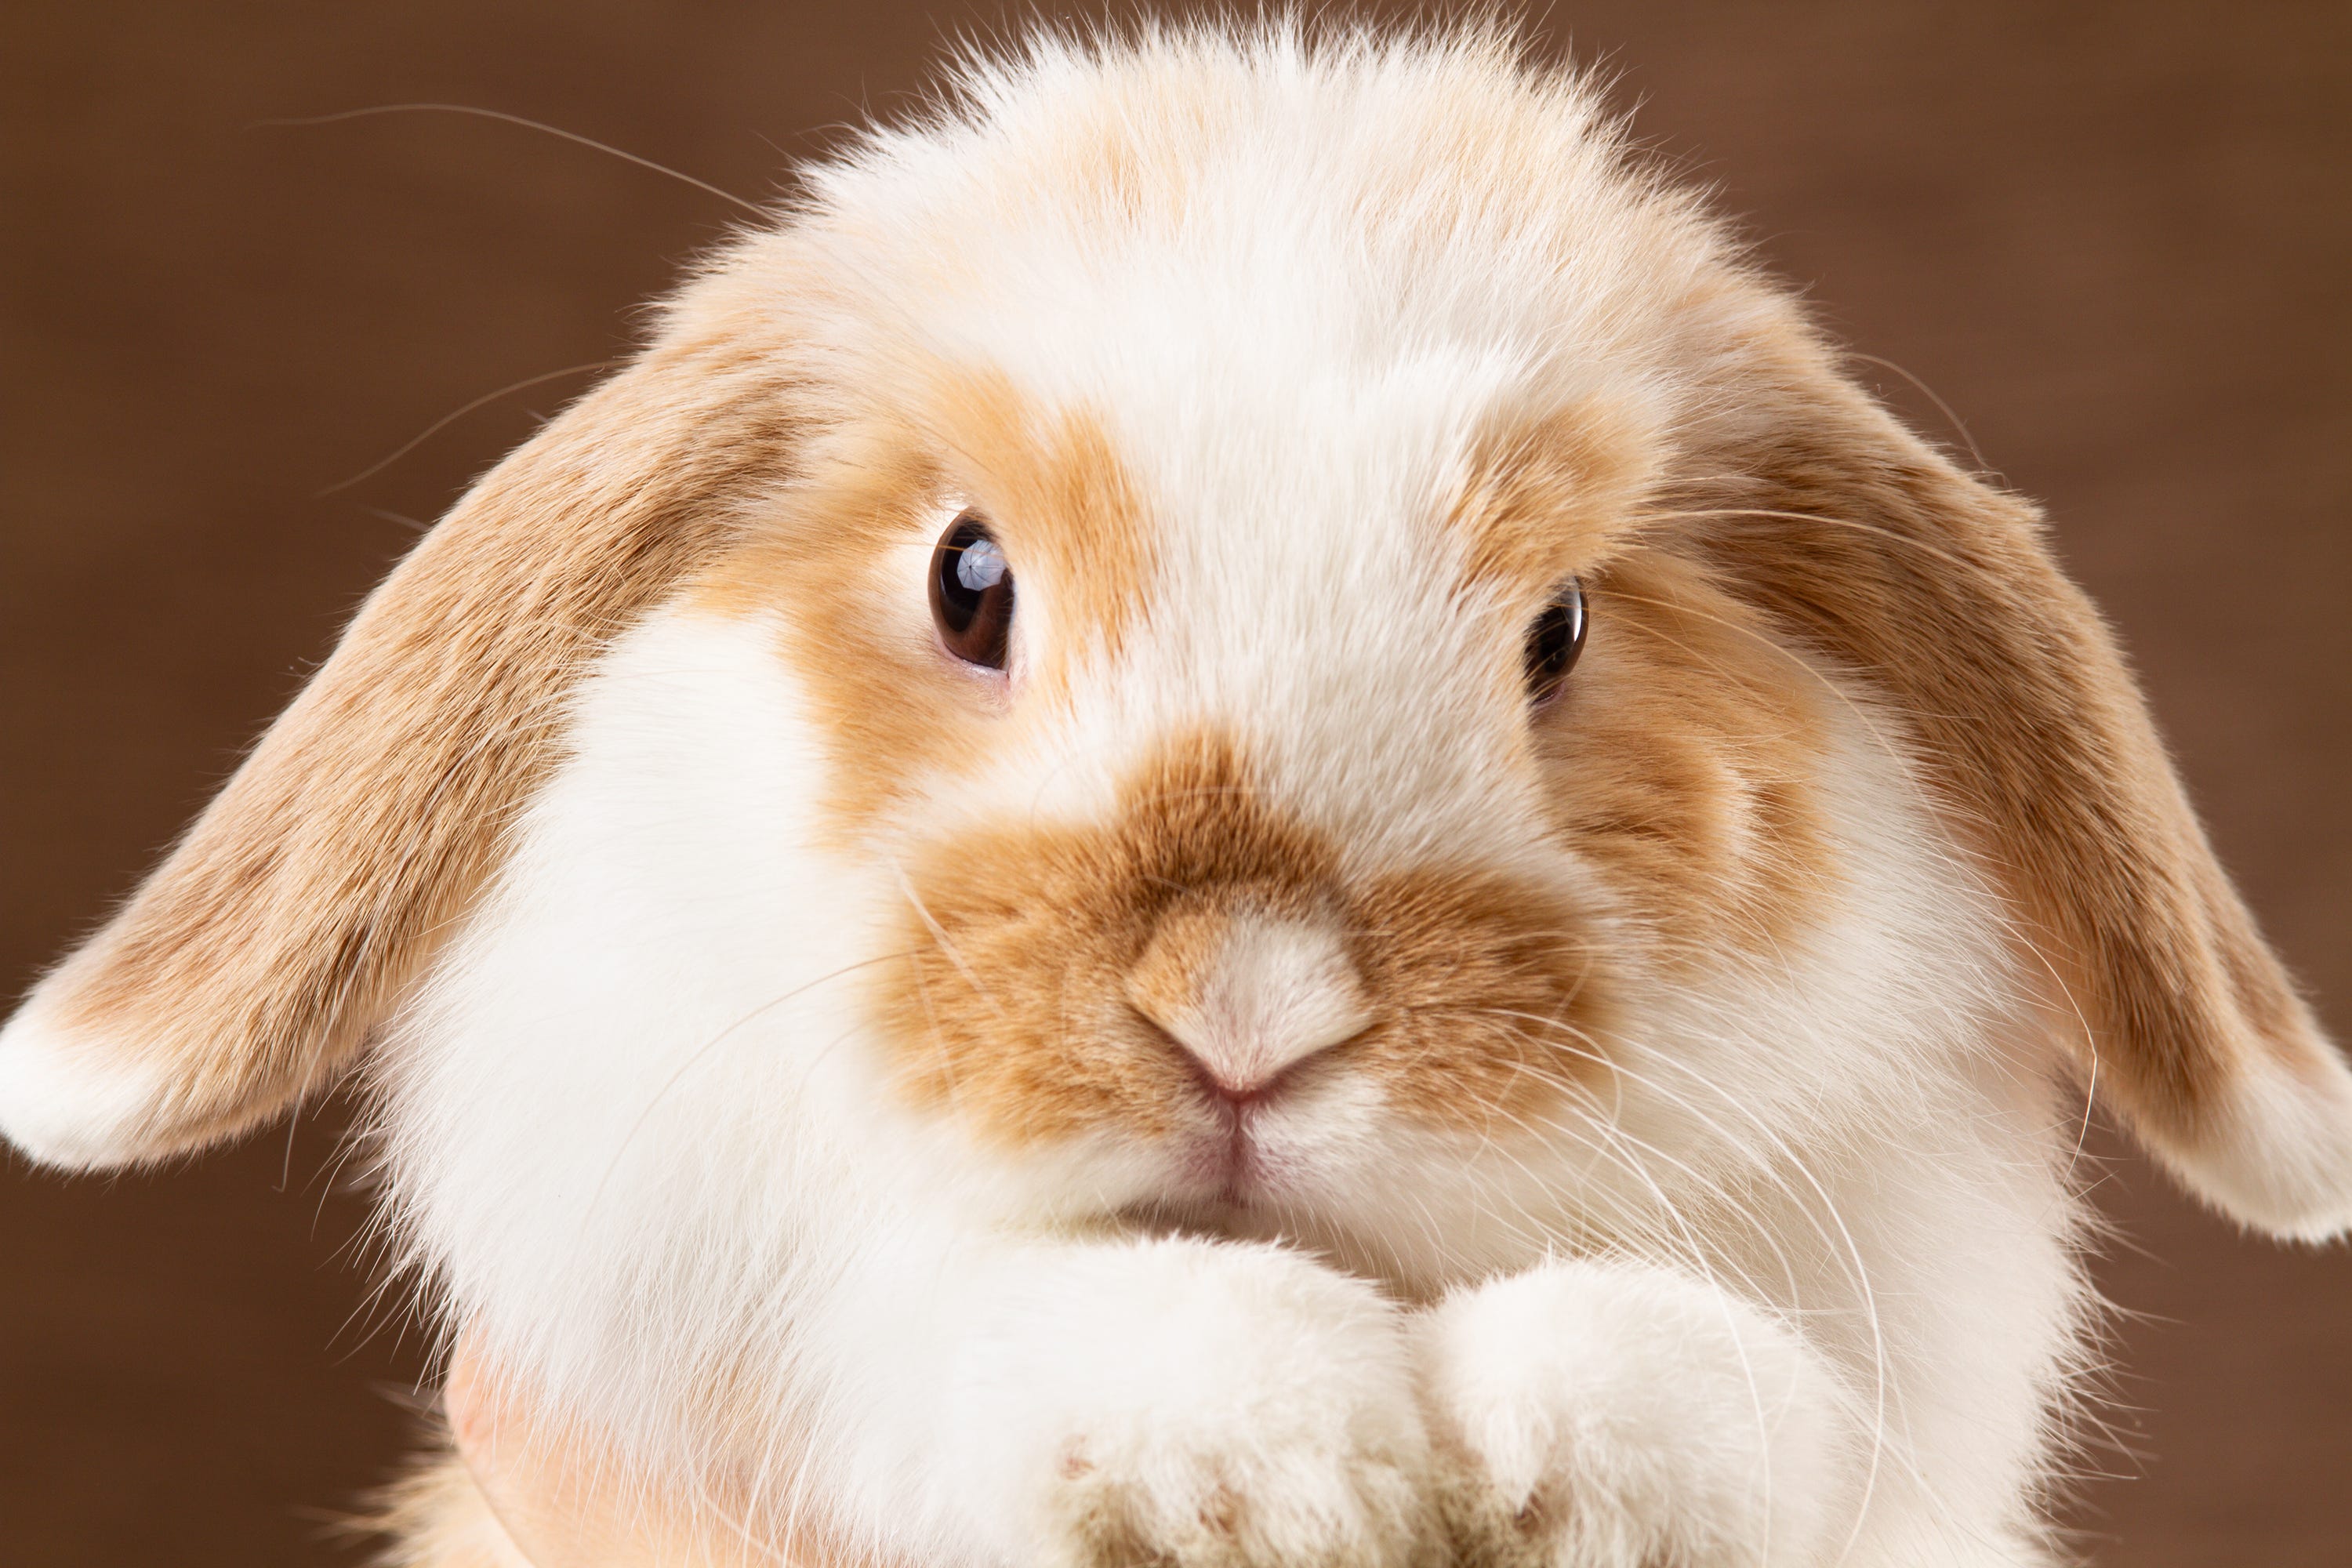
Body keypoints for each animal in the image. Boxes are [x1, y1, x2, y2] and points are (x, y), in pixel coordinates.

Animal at [4, 20, 2347, 1568]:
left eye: (1564, 628)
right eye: (967, 579)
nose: (1249, 1006)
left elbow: (1762, 1392)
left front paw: (1557, 1446)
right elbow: (936, 1315)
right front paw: (1265, 1446)